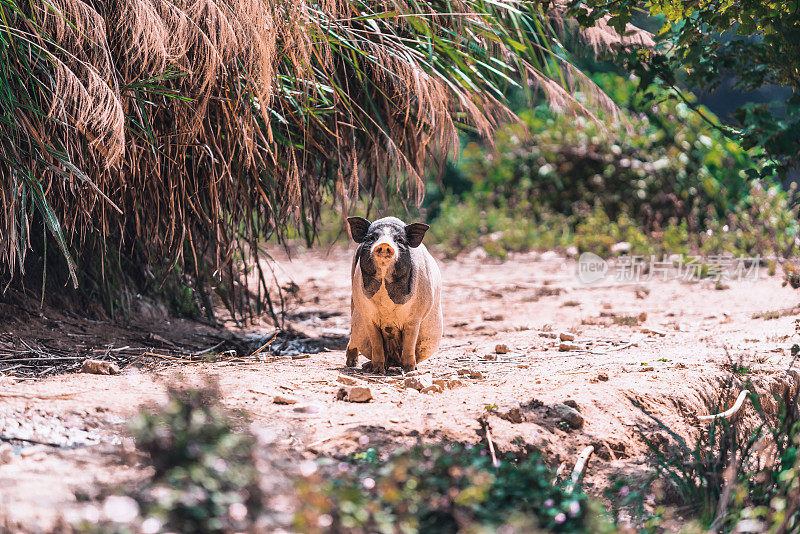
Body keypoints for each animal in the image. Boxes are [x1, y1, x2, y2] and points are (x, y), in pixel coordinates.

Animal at [344, 216, 444, 374]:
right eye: (371, 238)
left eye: (399, 240)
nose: (384, 244)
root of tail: (393, 360)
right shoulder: (367, 316)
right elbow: (376, 342)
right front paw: (378, 371)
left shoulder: (414, 317)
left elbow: (409, 344)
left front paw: (410, 370)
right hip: (354, 305)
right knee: (354, 335)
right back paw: (356, 364)